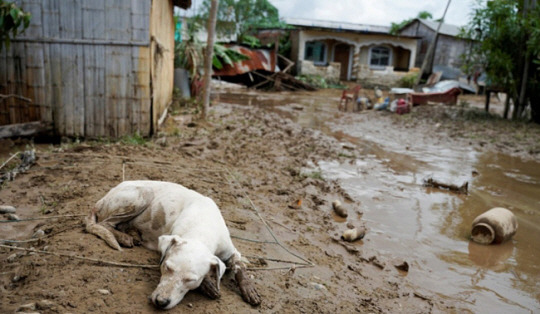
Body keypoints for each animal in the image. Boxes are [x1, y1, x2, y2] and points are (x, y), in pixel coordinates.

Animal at [85, 180, 262, 310]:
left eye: (190, 279)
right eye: (167, 267)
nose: (161, 302)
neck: (202, 227)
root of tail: (100, 200)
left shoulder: (232, 252)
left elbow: (240, 268)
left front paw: (249, 289)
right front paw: (208, 285)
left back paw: (131, 234)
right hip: (143, 194)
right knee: (105, 224)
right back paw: (124, 238)